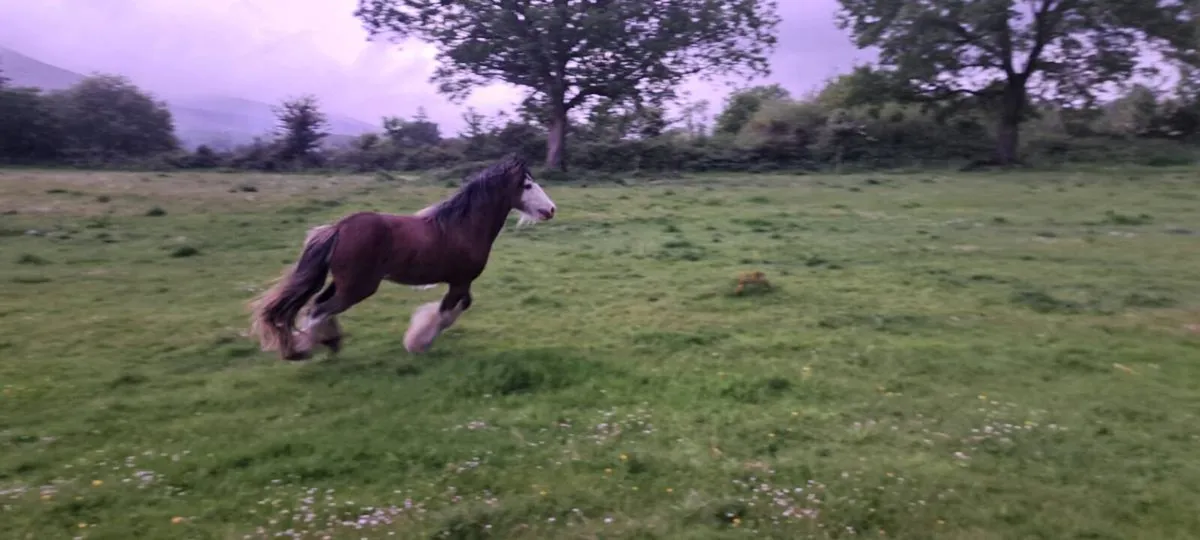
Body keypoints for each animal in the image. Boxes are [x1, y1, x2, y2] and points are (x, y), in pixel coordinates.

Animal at [247, 155, 557, 361]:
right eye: (527, 186)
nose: (551, 209)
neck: (462, 226)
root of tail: (338, 228)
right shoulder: (459, 282)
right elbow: (446, 313)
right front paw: (417, 343)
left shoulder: (462, 282)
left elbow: (460, 307)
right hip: (358, 287)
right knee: (318, 310)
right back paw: (302, 350)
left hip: (343, 283)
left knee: (318, 305)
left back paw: (329, 342)